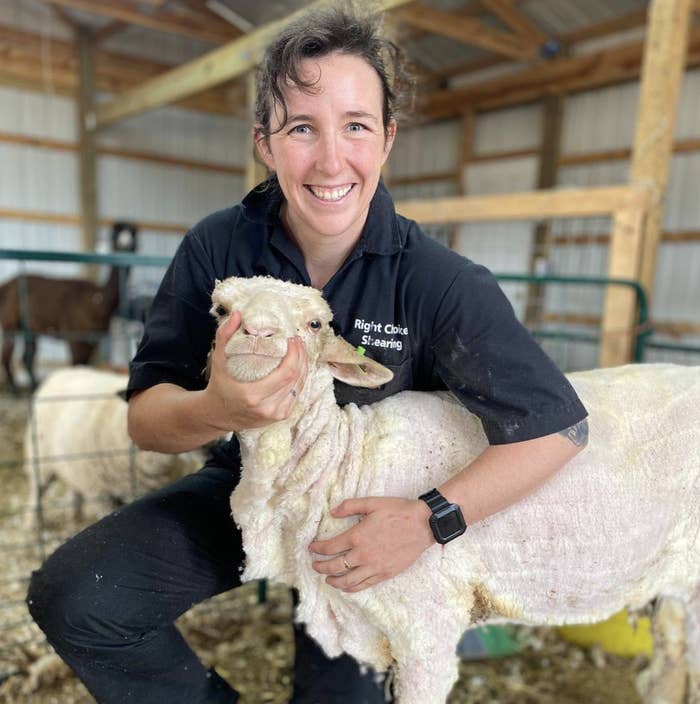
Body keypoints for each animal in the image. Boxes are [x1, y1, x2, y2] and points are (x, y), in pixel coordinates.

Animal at [0, 221, 138, 390]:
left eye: (134, 234)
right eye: (114, 235)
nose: (125, 244)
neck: (96, 303)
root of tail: (5, 285)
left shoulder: (91, 340)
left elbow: (84, 367)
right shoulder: (75, 337)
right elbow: (75, 367)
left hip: (30, 327)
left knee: (27, 357)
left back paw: (34, 386)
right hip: (10, 323)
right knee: (7, 356)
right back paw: (16, 389)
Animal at [24, 366, 204, 524]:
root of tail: (61, 372)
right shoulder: (101, 494)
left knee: (74, 489)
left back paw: (75, 518)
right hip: (41, 462)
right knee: (37, 491)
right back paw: (31, 524)